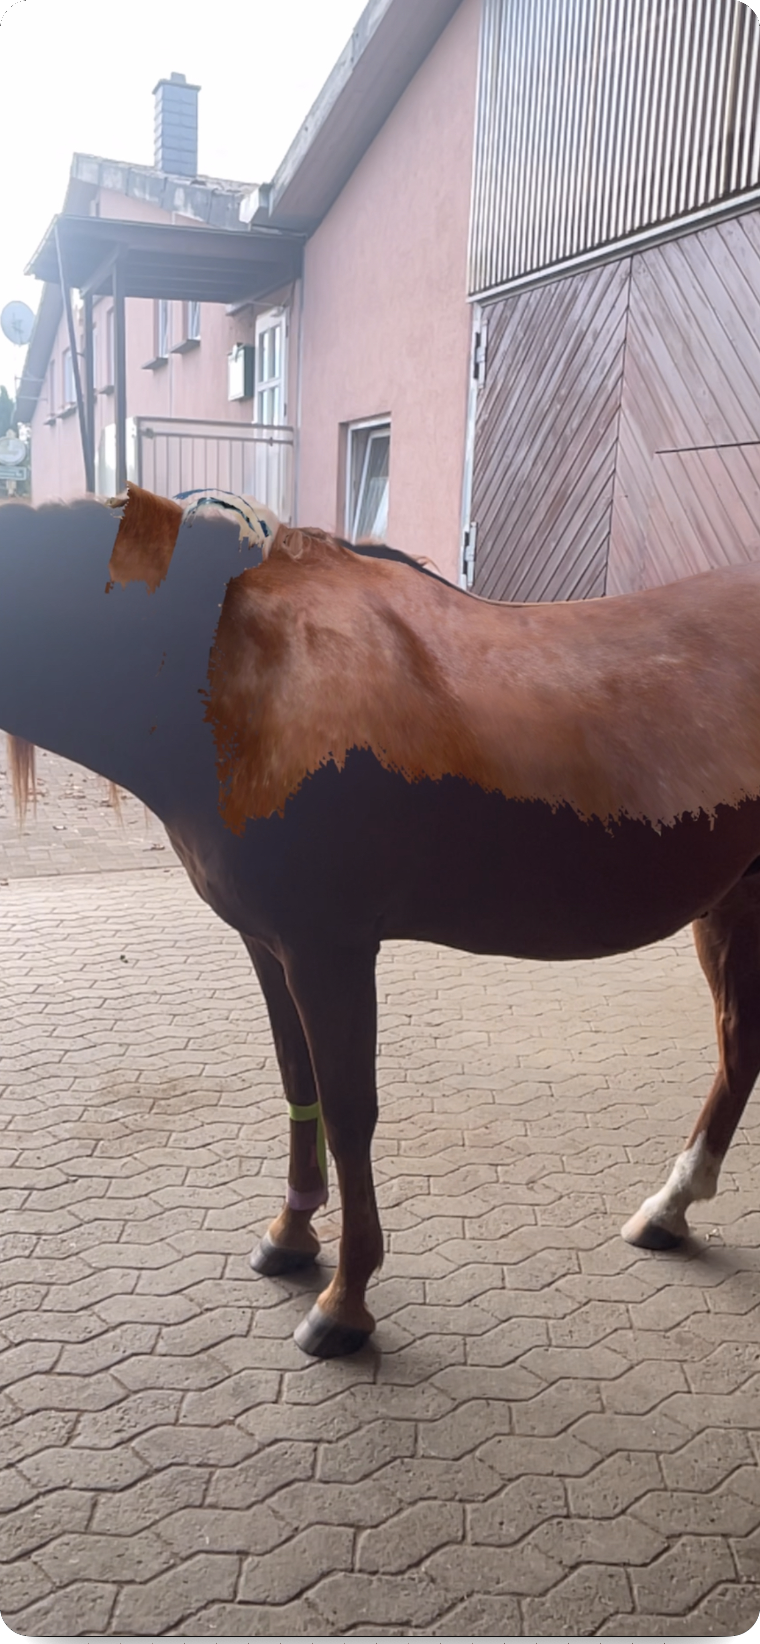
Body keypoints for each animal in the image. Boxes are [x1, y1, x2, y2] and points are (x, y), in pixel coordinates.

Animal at [2, 482, 760, 1359]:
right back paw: (669, 1210)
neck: (235, 673)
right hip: (731, 903)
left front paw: (344, 1301)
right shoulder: (270, 944)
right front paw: (290, 1235)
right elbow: (300, 1084)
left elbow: (350, 1112)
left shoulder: (329, 949)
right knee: (740, 1048)